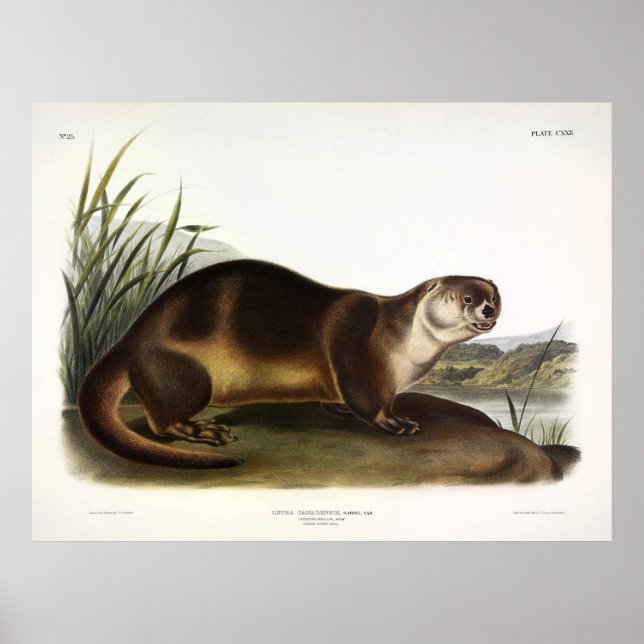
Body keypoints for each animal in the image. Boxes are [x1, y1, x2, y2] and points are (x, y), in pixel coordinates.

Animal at [78, 259, 501, 469]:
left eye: (495, 296)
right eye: (466, 297)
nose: (489, 310)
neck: (403, 343)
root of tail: (130, 338)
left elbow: (340, 397)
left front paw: (339, 409)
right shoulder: (355, 344)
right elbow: (367, 398)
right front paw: (395, 422)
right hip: (183, 372)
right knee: (161, 420)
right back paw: (203, 430)